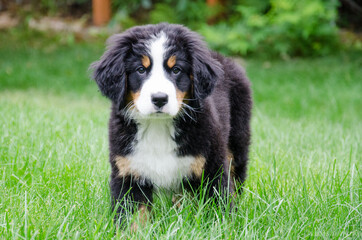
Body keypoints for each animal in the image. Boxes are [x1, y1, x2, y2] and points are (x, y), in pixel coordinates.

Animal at [90, 23, 252, 227]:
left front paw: (224, 228)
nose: (159, 98)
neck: (158, 127)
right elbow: (133, 217)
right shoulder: (128, 171)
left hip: (236, 143)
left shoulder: (212, 167)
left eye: (176, 70)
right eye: (140, 70)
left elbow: (218, 209)